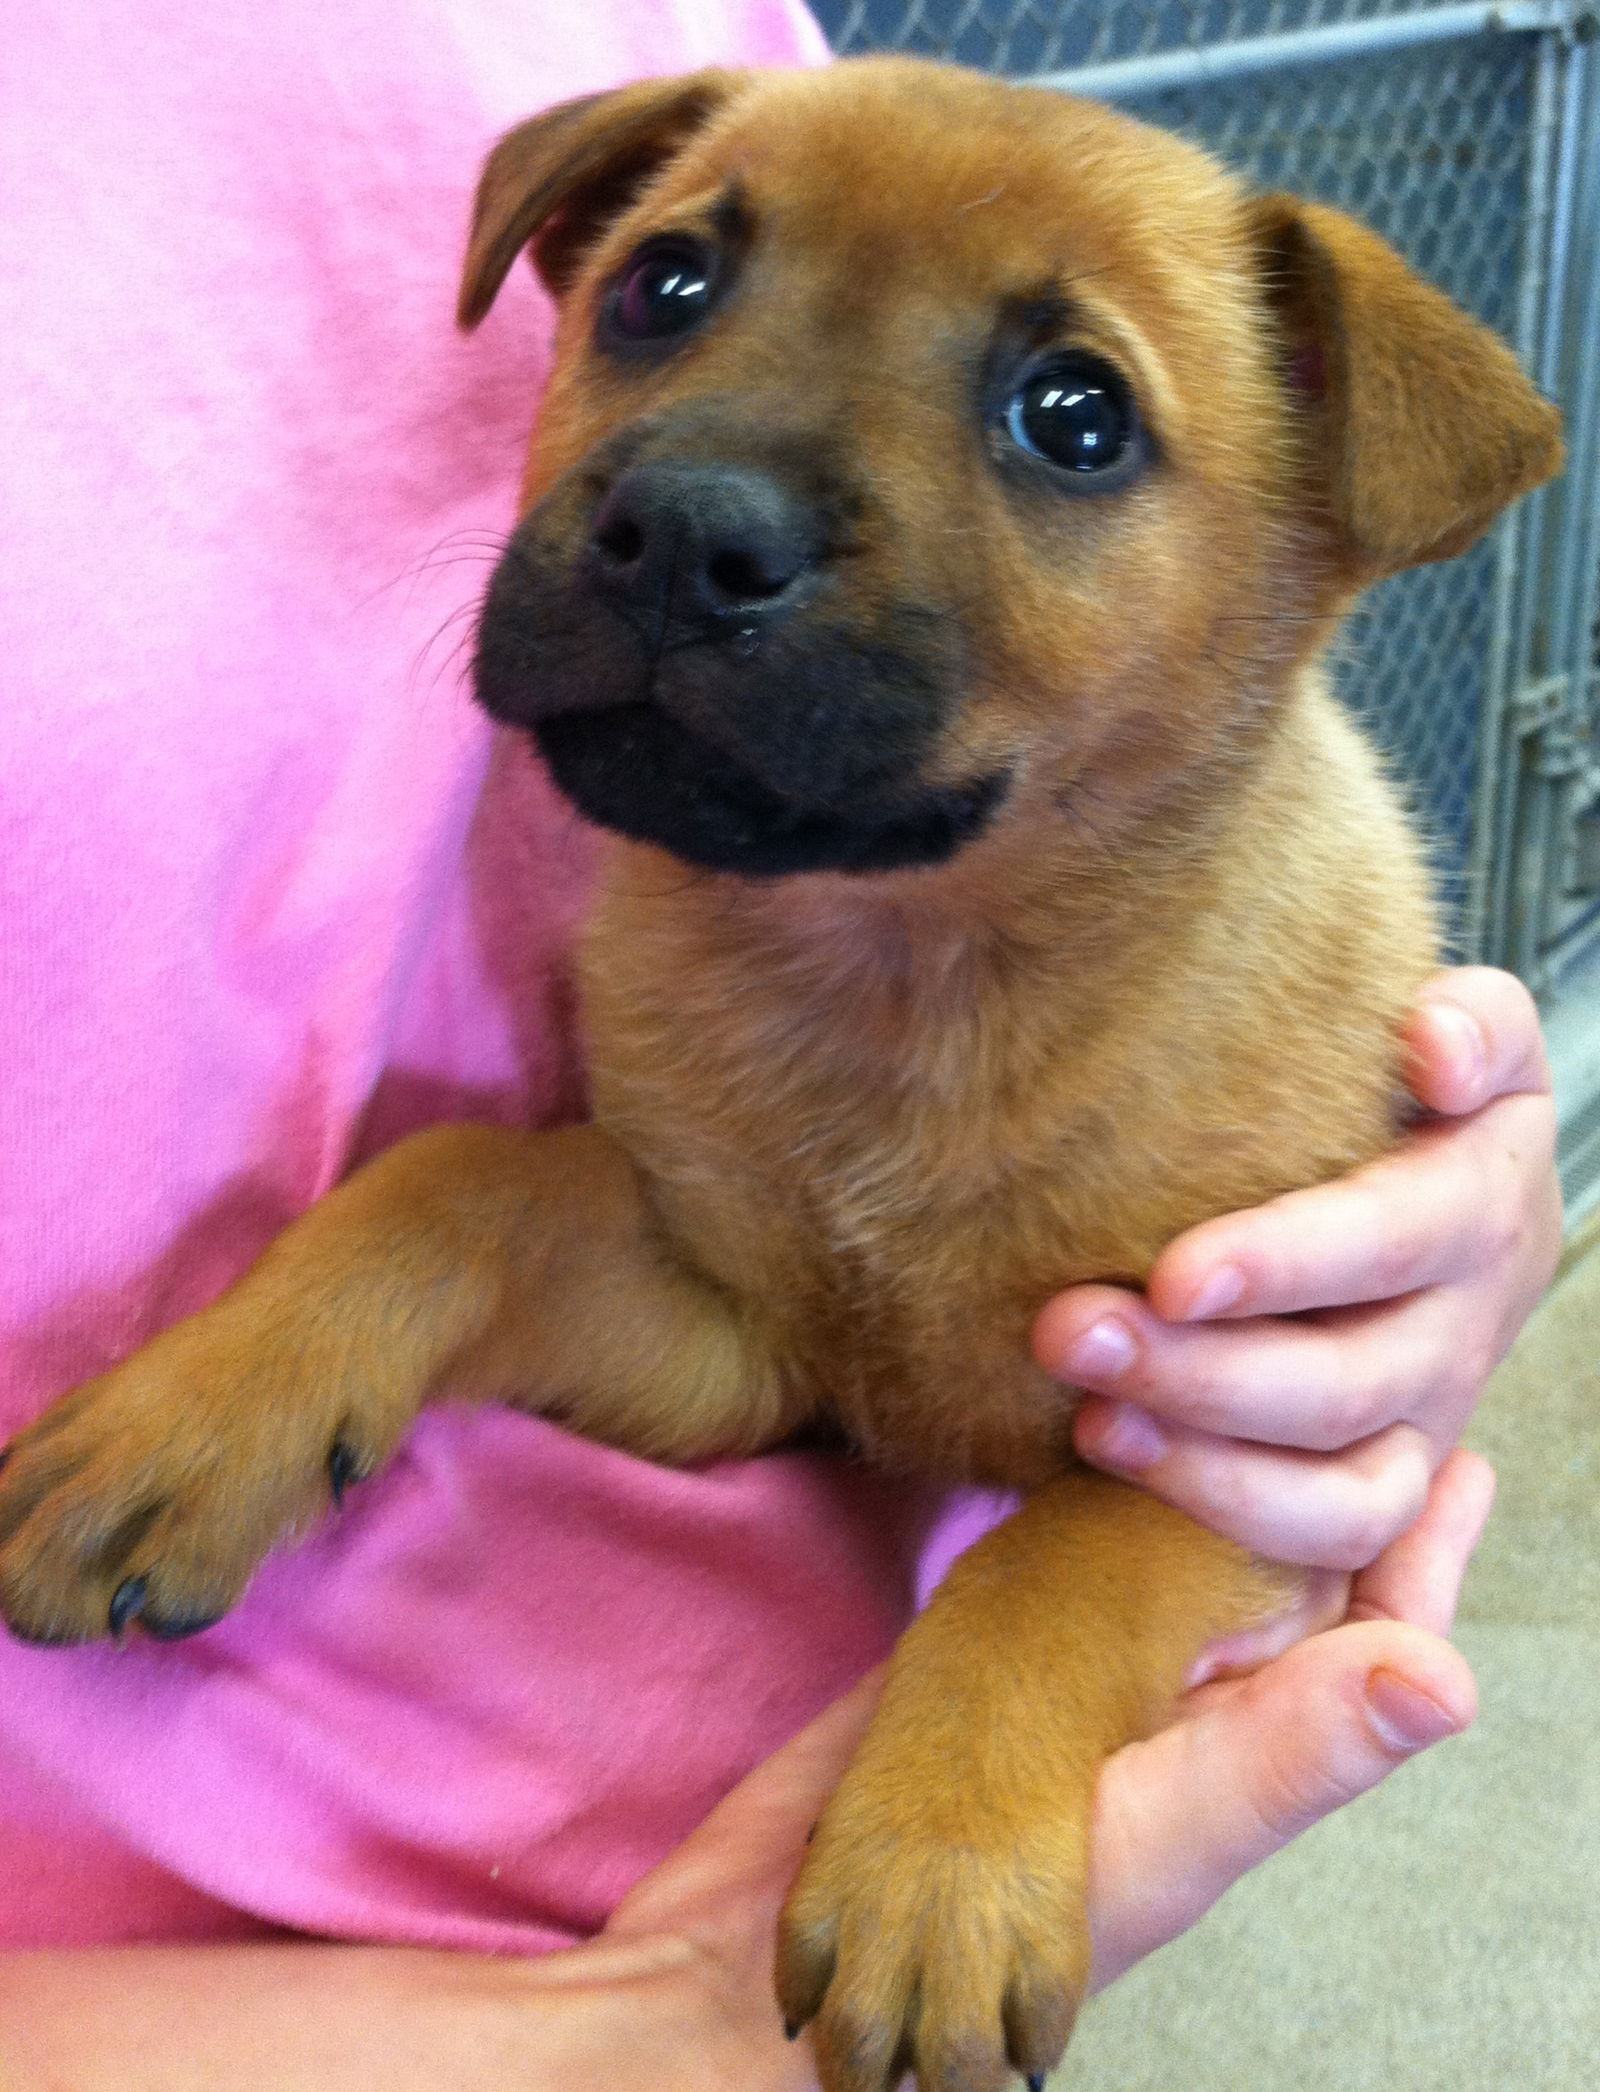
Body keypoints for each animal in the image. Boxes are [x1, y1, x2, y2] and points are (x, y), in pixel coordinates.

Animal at [0, 57, 1564, 2083]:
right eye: (663, 285)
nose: (681, 533)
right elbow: (463, 1175)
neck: (909, 986)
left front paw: (934, 1869)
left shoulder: (1241, 1437)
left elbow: (1036, 1576)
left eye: (1076, 416)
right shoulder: (740, 1352)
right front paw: (187, 1419)